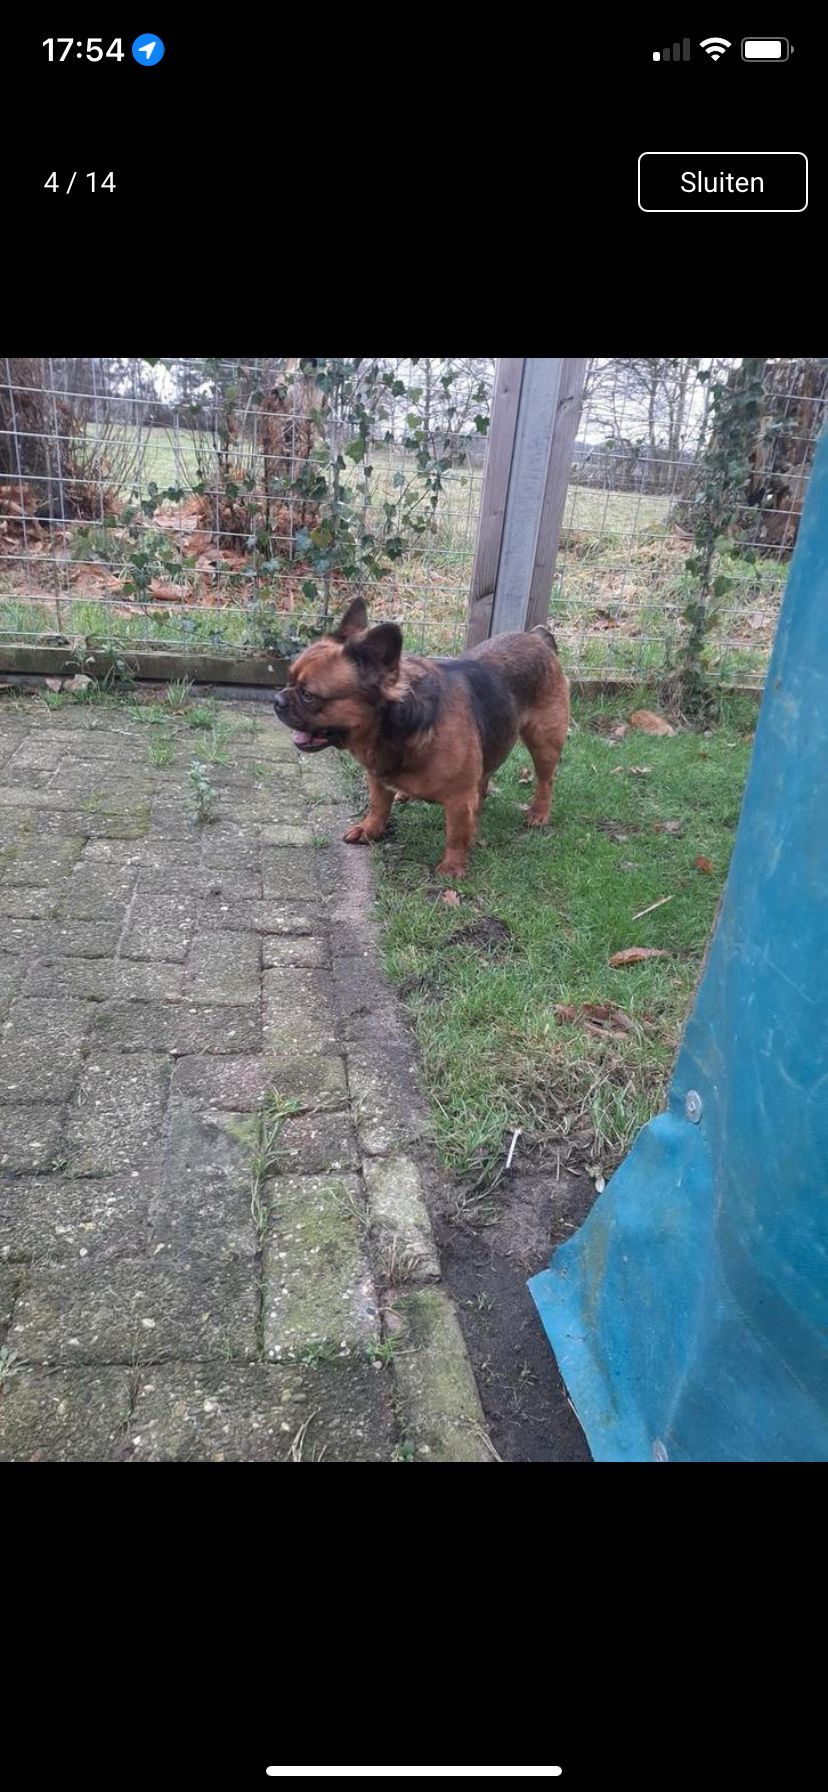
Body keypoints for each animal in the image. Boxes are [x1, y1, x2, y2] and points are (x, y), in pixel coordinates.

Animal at [272, 602, 569, 881]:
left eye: (308, 695)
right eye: (288, 680)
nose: (277, 700)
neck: (396, 727)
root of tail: (538, 638)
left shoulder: (458, 800)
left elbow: (456, 835)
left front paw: (452, 867)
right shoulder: (377, 778)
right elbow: (379, 806)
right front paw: (371, 830)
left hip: (544, 742)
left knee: (546, 780)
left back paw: (539, 813)